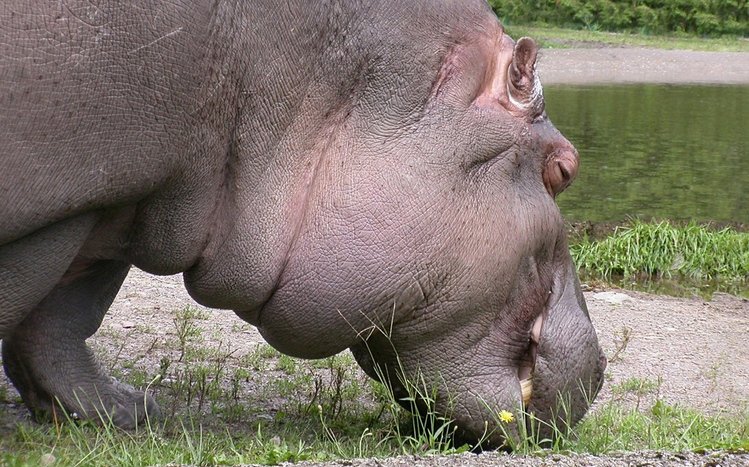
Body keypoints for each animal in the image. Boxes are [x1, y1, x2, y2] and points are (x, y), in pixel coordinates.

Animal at [0, 0, 605, 447]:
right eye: (564, 169)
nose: (601, 370)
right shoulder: (71, 200)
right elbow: (41, 303)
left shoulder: (126, 197)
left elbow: (65, 314)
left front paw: (126, 413)